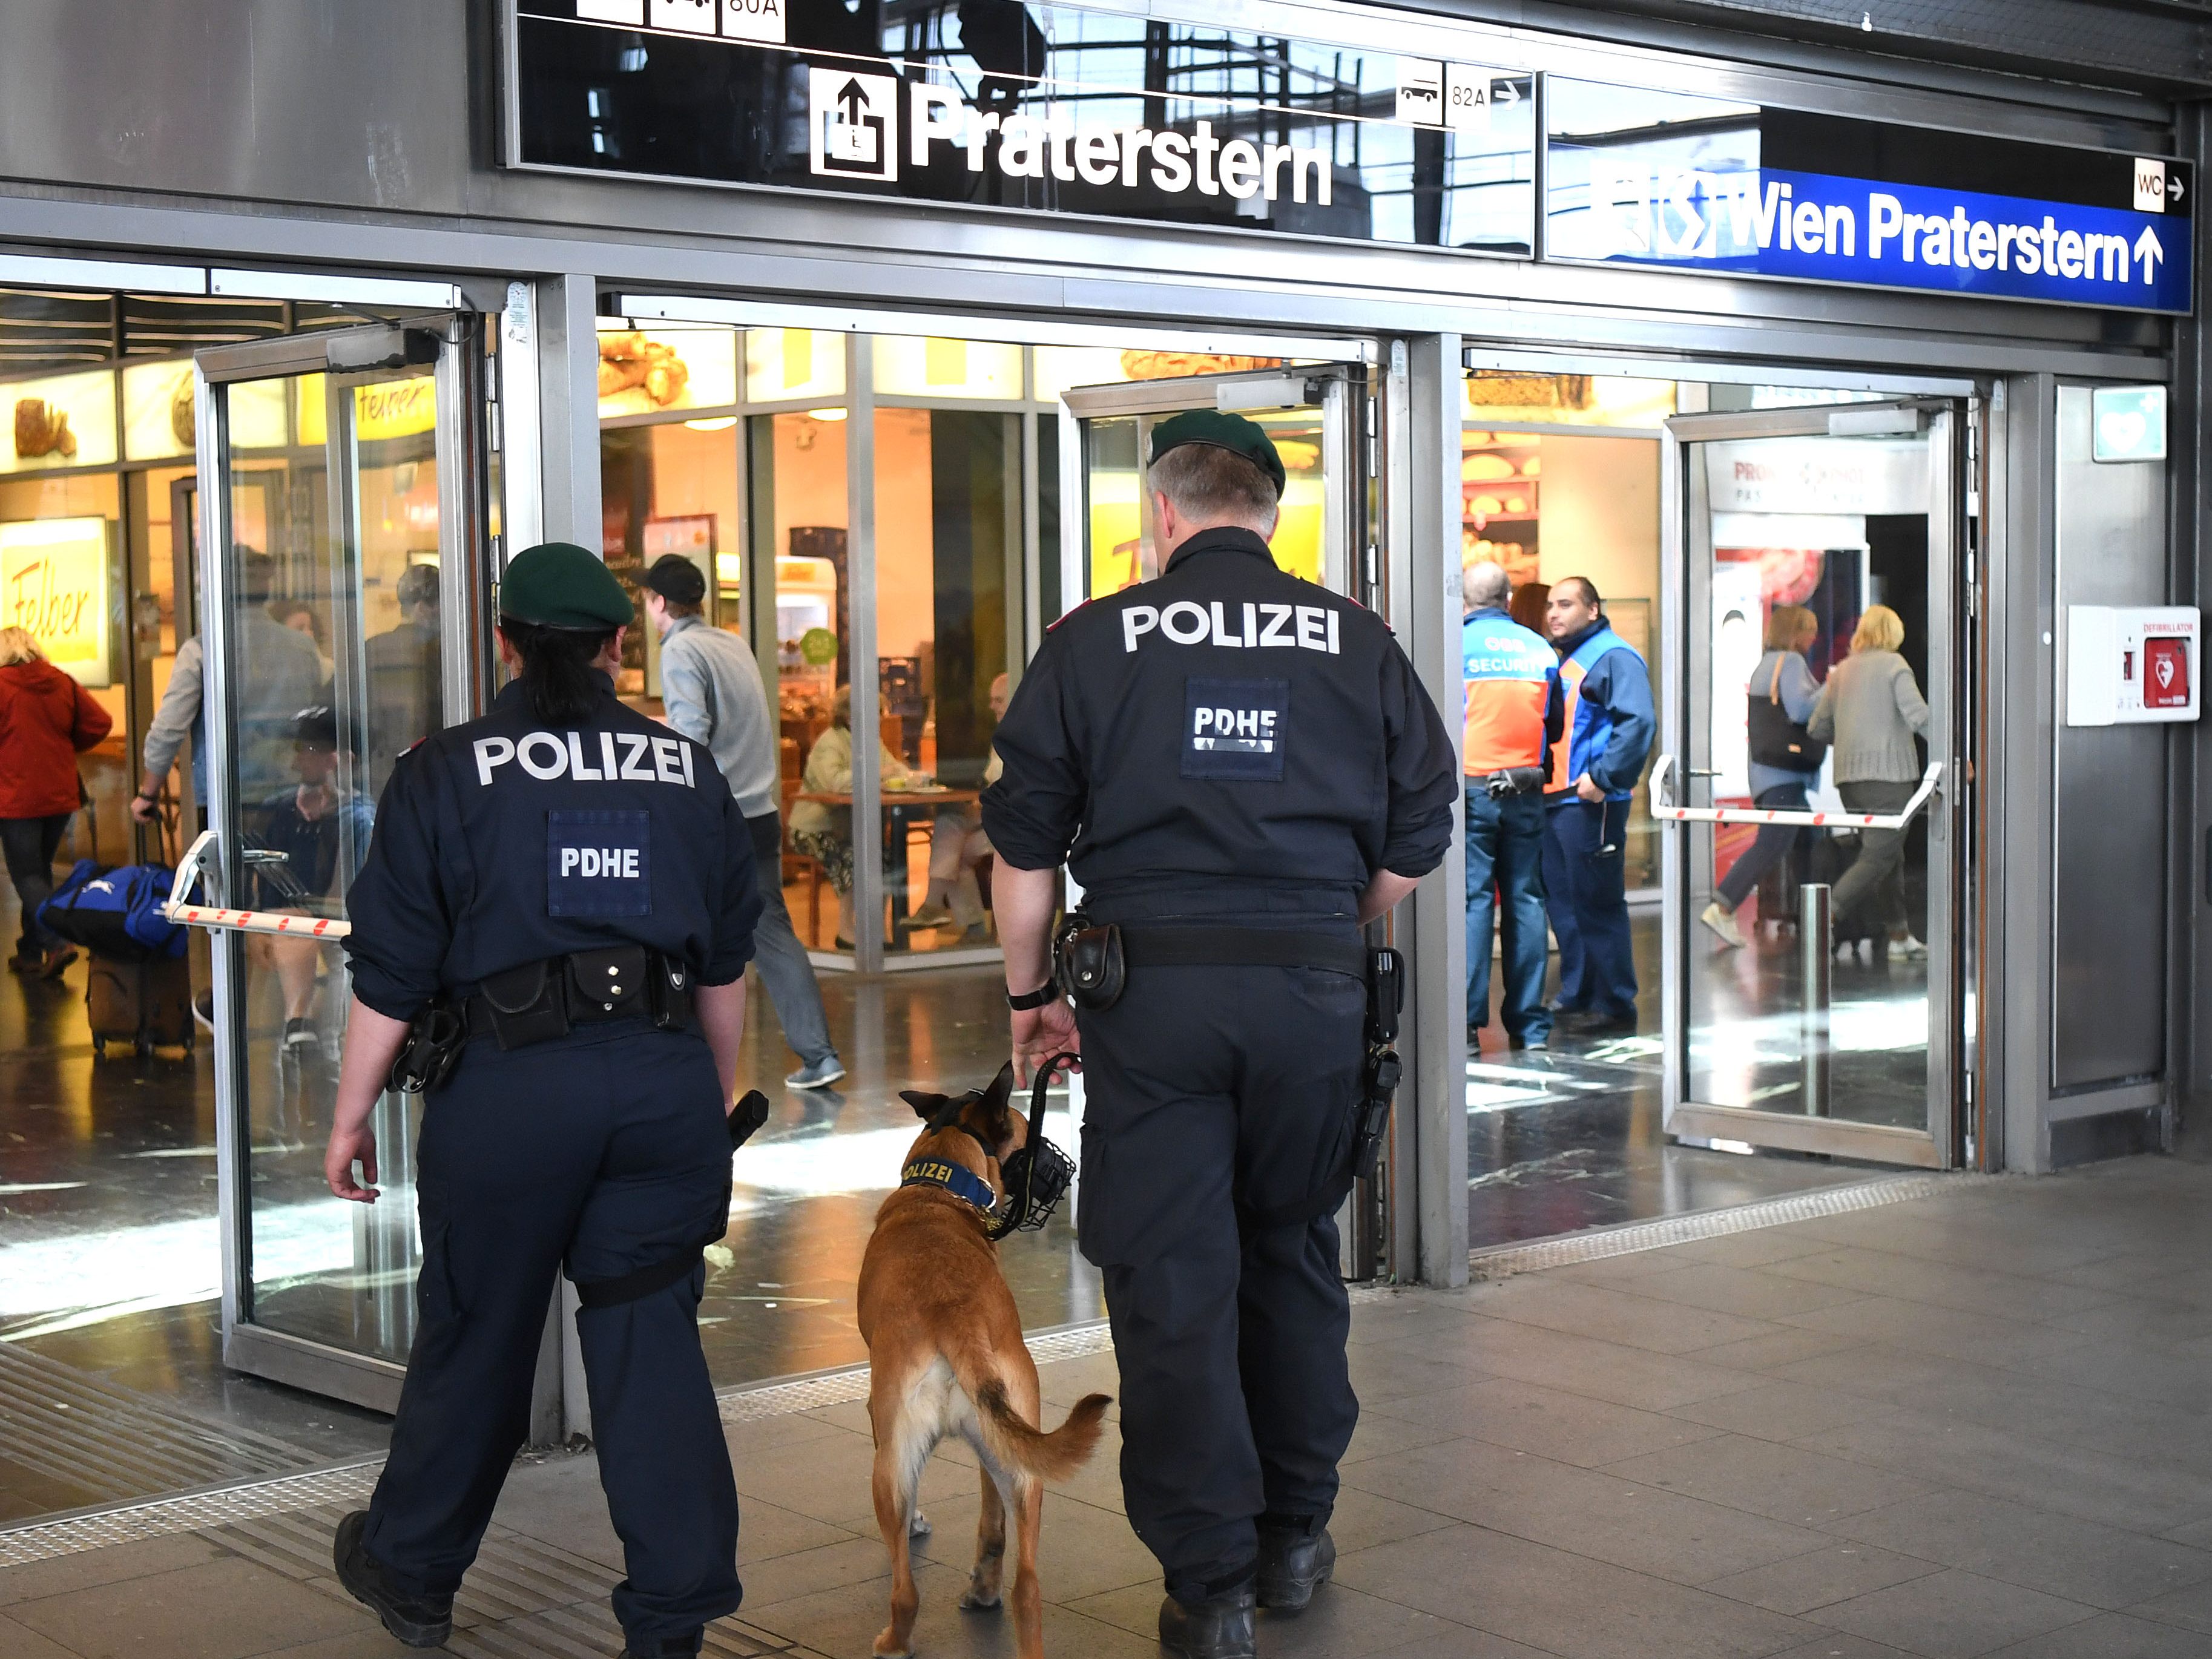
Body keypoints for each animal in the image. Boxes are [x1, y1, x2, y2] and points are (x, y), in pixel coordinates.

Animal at [858, 1066, 1114, 1659]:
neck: (936, 1192)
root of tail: (958, 1320)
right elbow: (992, 1528)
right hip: (1019, 1462)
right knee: (1026, 1583)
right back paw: (992, 1598)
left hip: (892, 1469)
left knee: (905, 1590)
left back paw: (893, 1640)